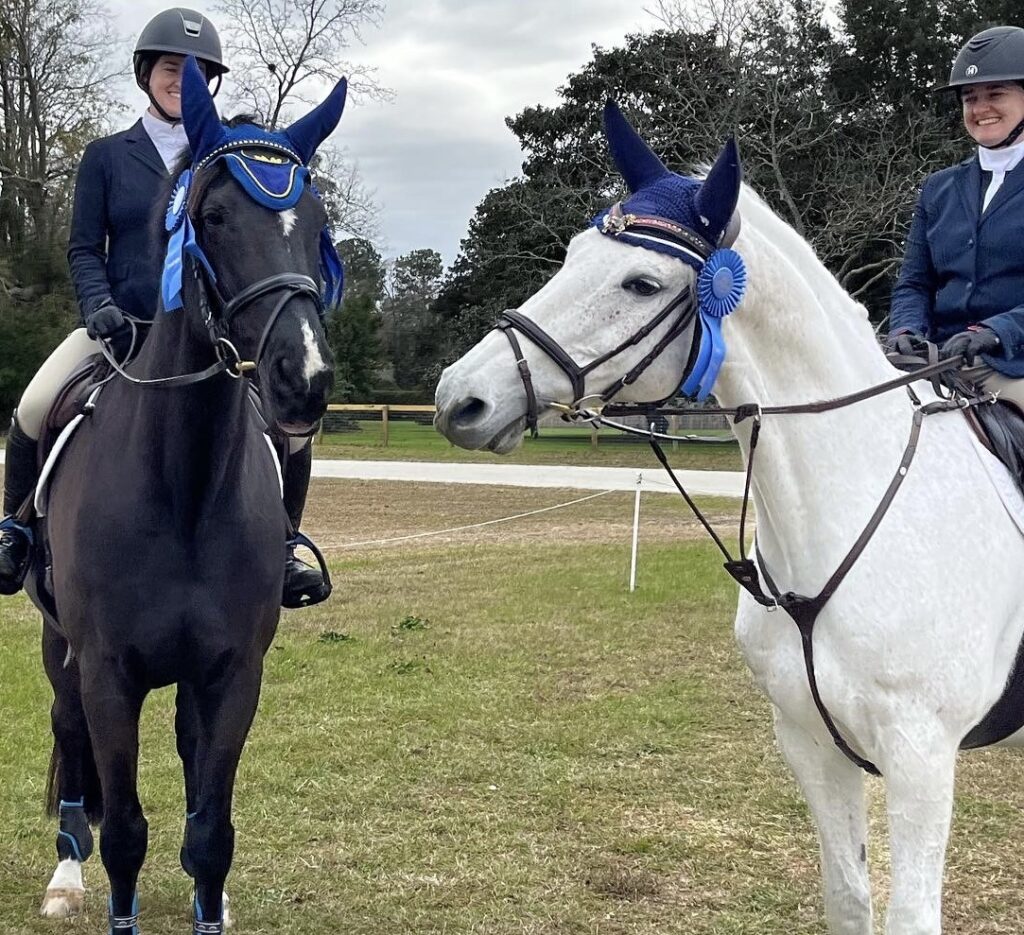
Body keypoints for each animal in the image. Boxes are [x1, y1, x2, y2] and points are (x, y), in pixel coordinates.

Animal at [24, 54, 342, 929]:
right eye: (216, 215)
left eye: (318, 222)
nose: (303, 380)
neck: (184, 489)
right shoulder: (106, 671)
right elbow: (126, 831)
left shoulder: (231, 673)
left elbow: (211, 828)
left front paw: (213, 899)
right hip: (60, 649)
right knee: (69, 740)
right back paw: (65, 874)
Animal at [432, 105, 1024, 929]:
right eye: (575, 253)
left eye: (642, 282)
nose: (461, 399)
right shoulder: (811, 743)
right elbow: (848, 898)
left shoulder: (921, 757)